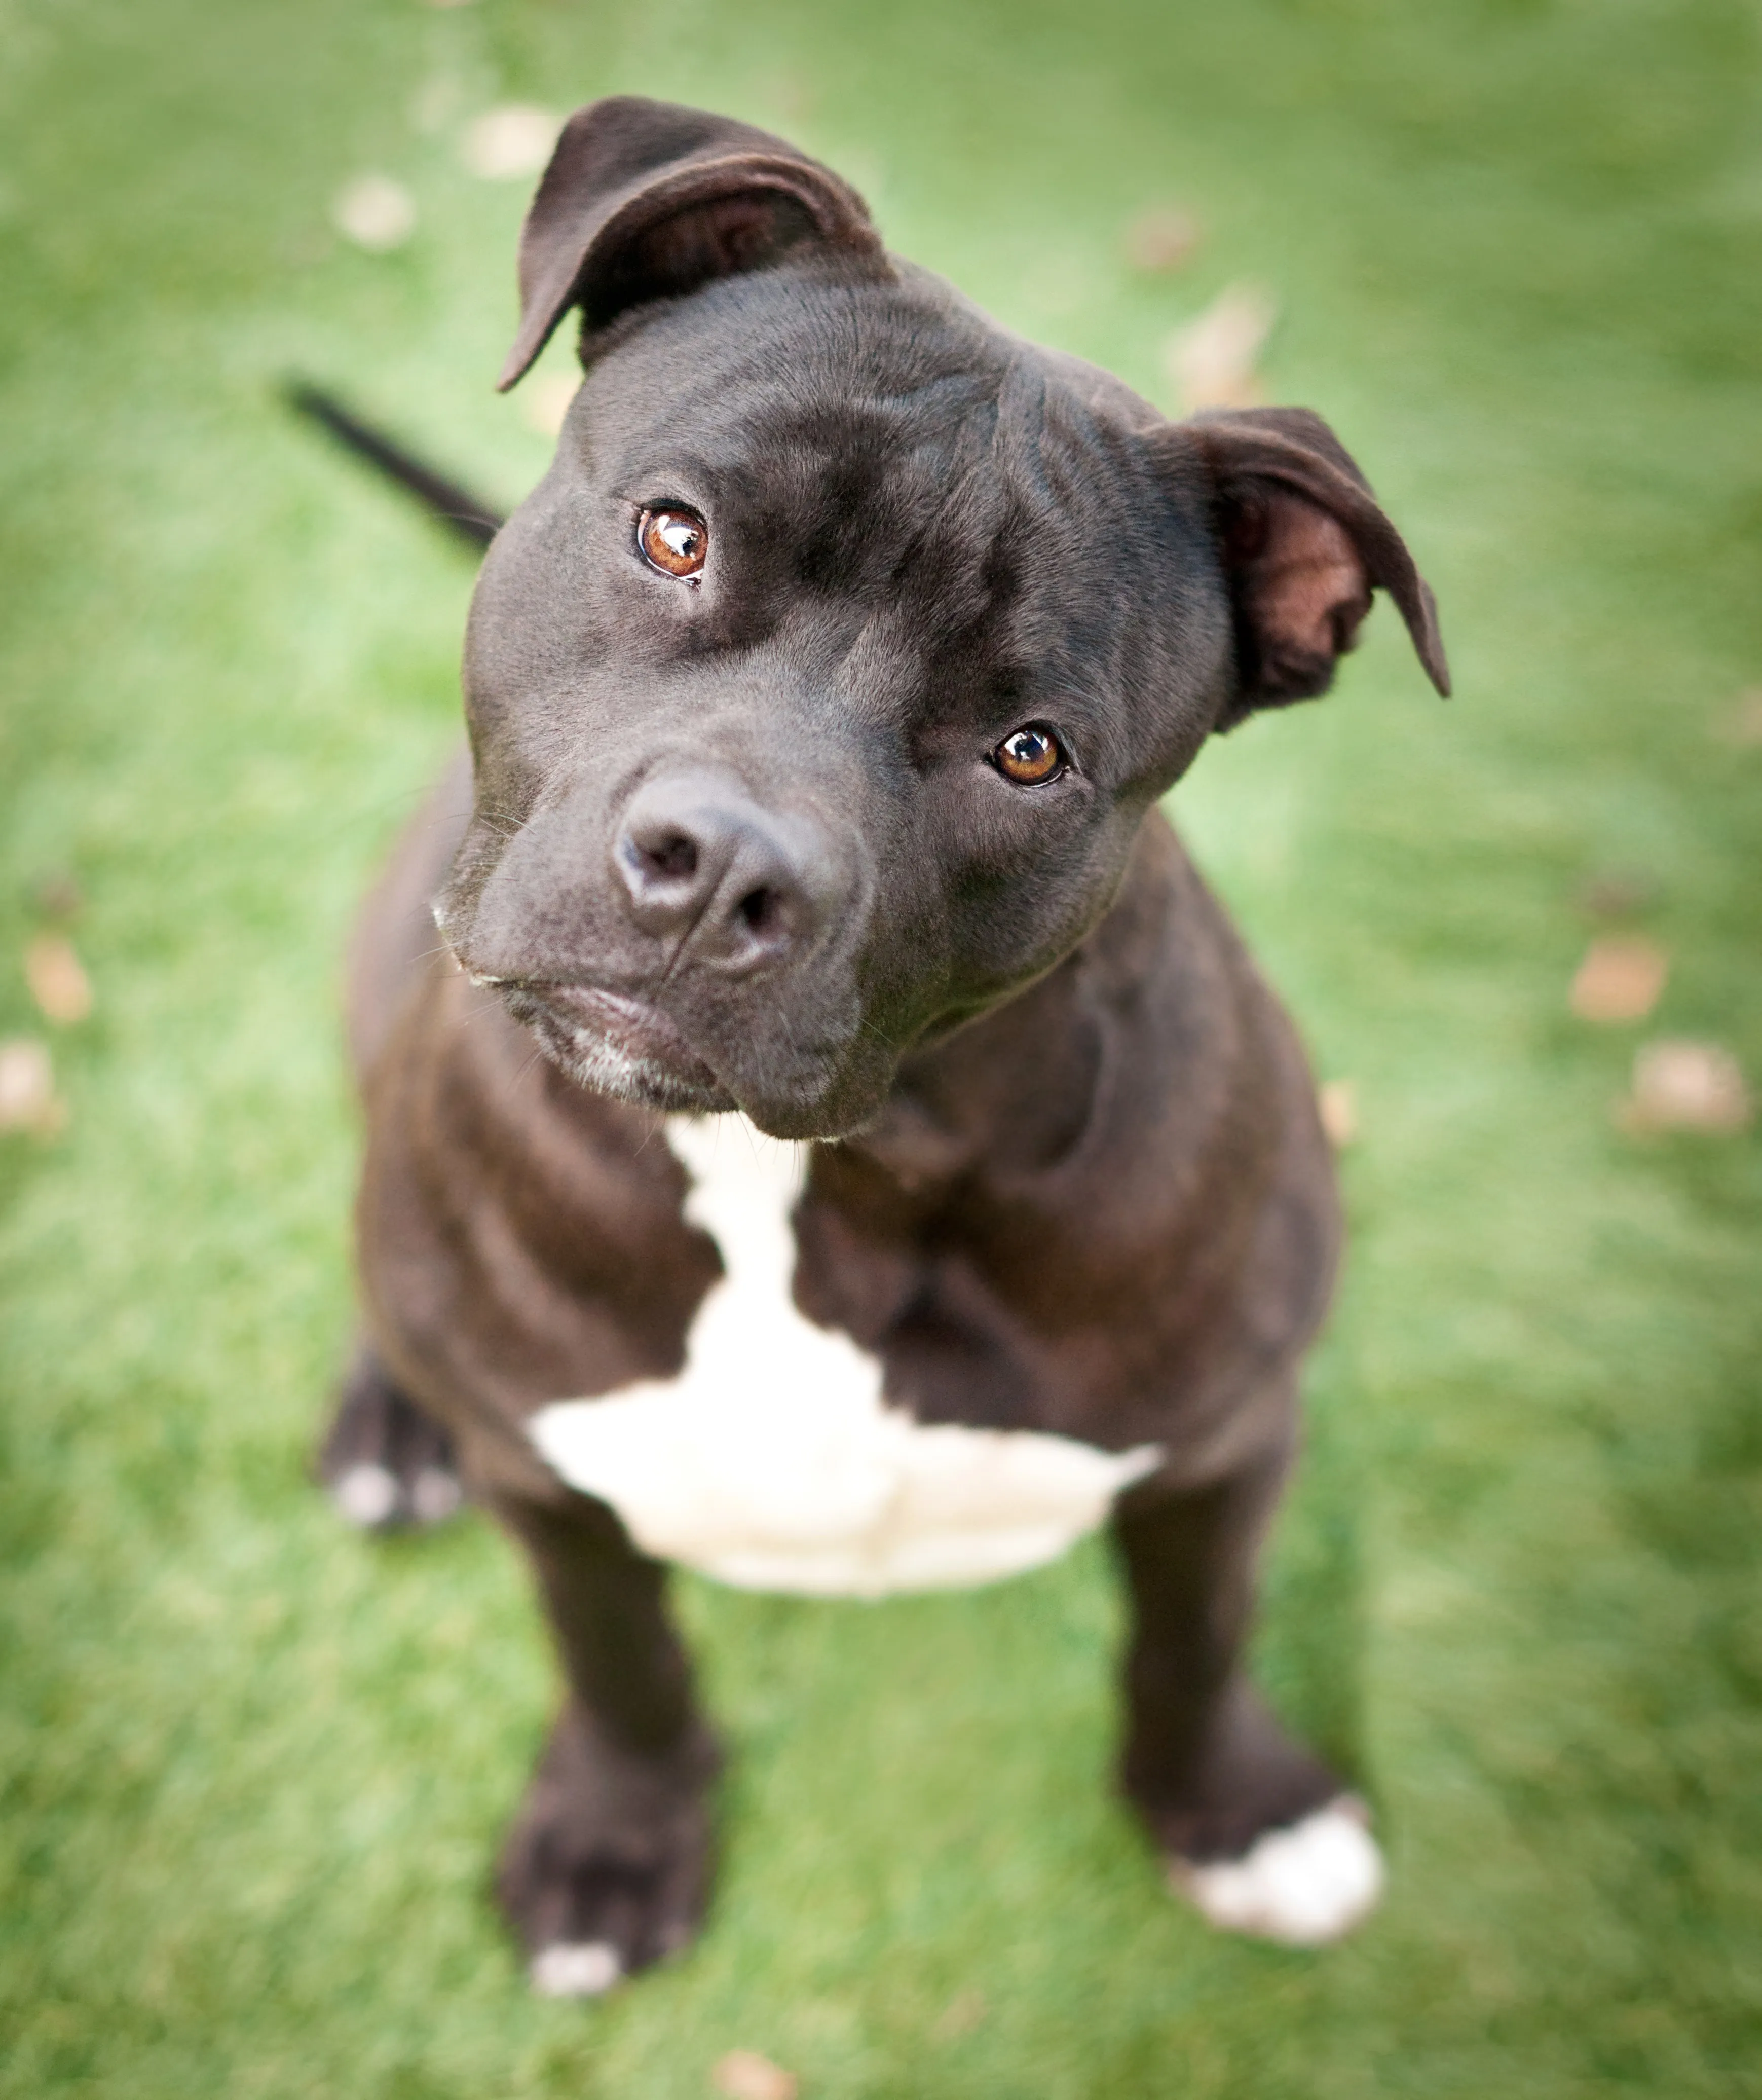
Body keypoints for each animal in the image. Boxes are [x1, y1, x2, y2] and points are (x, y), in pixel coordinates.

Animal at [321, 98, 1445, 1991]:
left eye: (1027, 751)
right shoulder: (555, 1485)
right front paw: (615, 1840)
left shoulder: (1226, 1438)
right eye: (675, 535)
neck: (834, 1187)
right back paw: (391, 1419)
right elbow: (616, 1655)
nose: (719, 871)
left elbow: (1193, 1635)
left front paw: (1235, 1808)